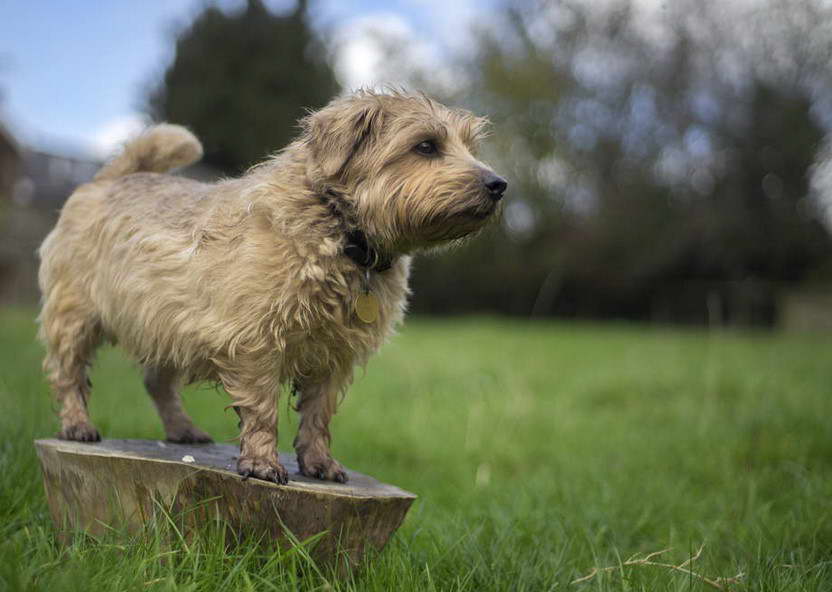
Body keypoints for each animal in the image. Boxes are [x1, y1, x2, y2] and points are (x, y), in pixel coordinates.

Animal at [37, 90, 508, 484]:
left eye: (471, 148)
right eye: (426, 146)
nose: (498, 184)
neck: (341, 233)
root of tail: (110, 178)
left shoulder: (335, 354)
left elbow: (318, 414)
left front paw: (320, 463)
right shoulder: (256, 340)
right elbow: (262, 408)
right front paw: (262, 463)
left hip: (166, 325)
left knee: (157, 382)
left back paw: (183, 429)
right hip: (75, 315)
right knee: (68, 371)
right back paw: (77, 424)